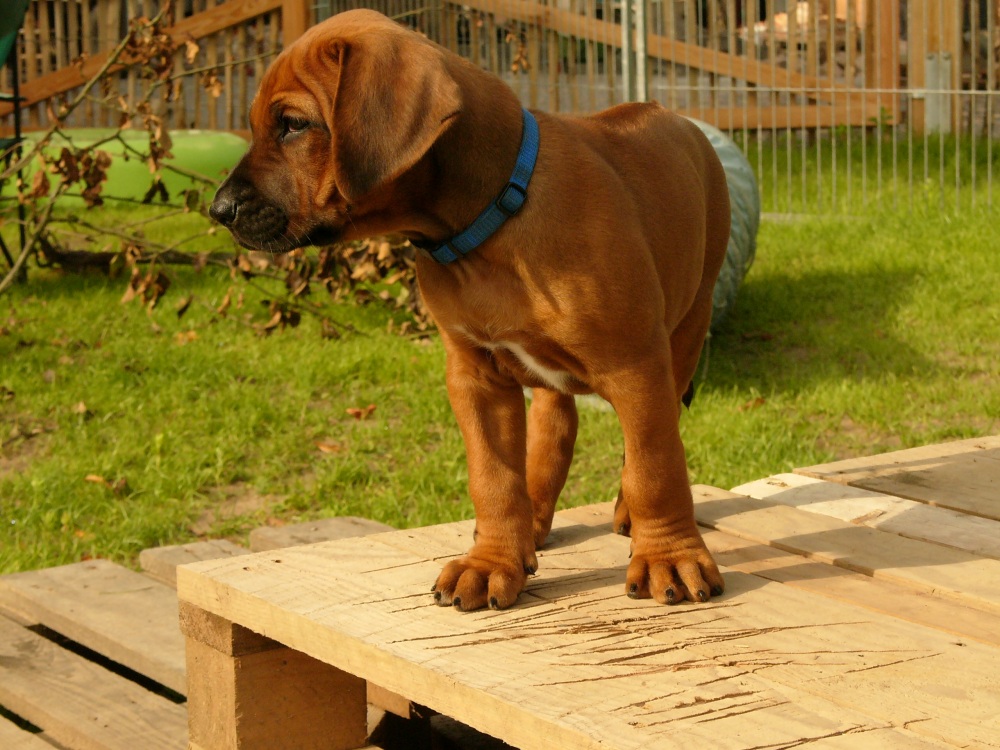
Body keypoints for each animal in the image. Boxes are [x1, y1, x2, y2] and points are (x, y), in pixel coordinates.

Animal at [210, 9, 730, 611]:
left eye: (293, 124)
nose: (218, 210)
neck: (489, 223)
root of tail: (672, 114)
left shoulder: (635, 365)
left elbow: (655, 465)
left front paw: (669, 555)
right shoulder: (475, 375)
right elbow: (493, 477)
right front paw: (492, 562)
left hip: (689, 325)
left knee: (653, 435)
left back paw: (628, 517)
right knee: (555, 425)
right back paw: (535, 519)